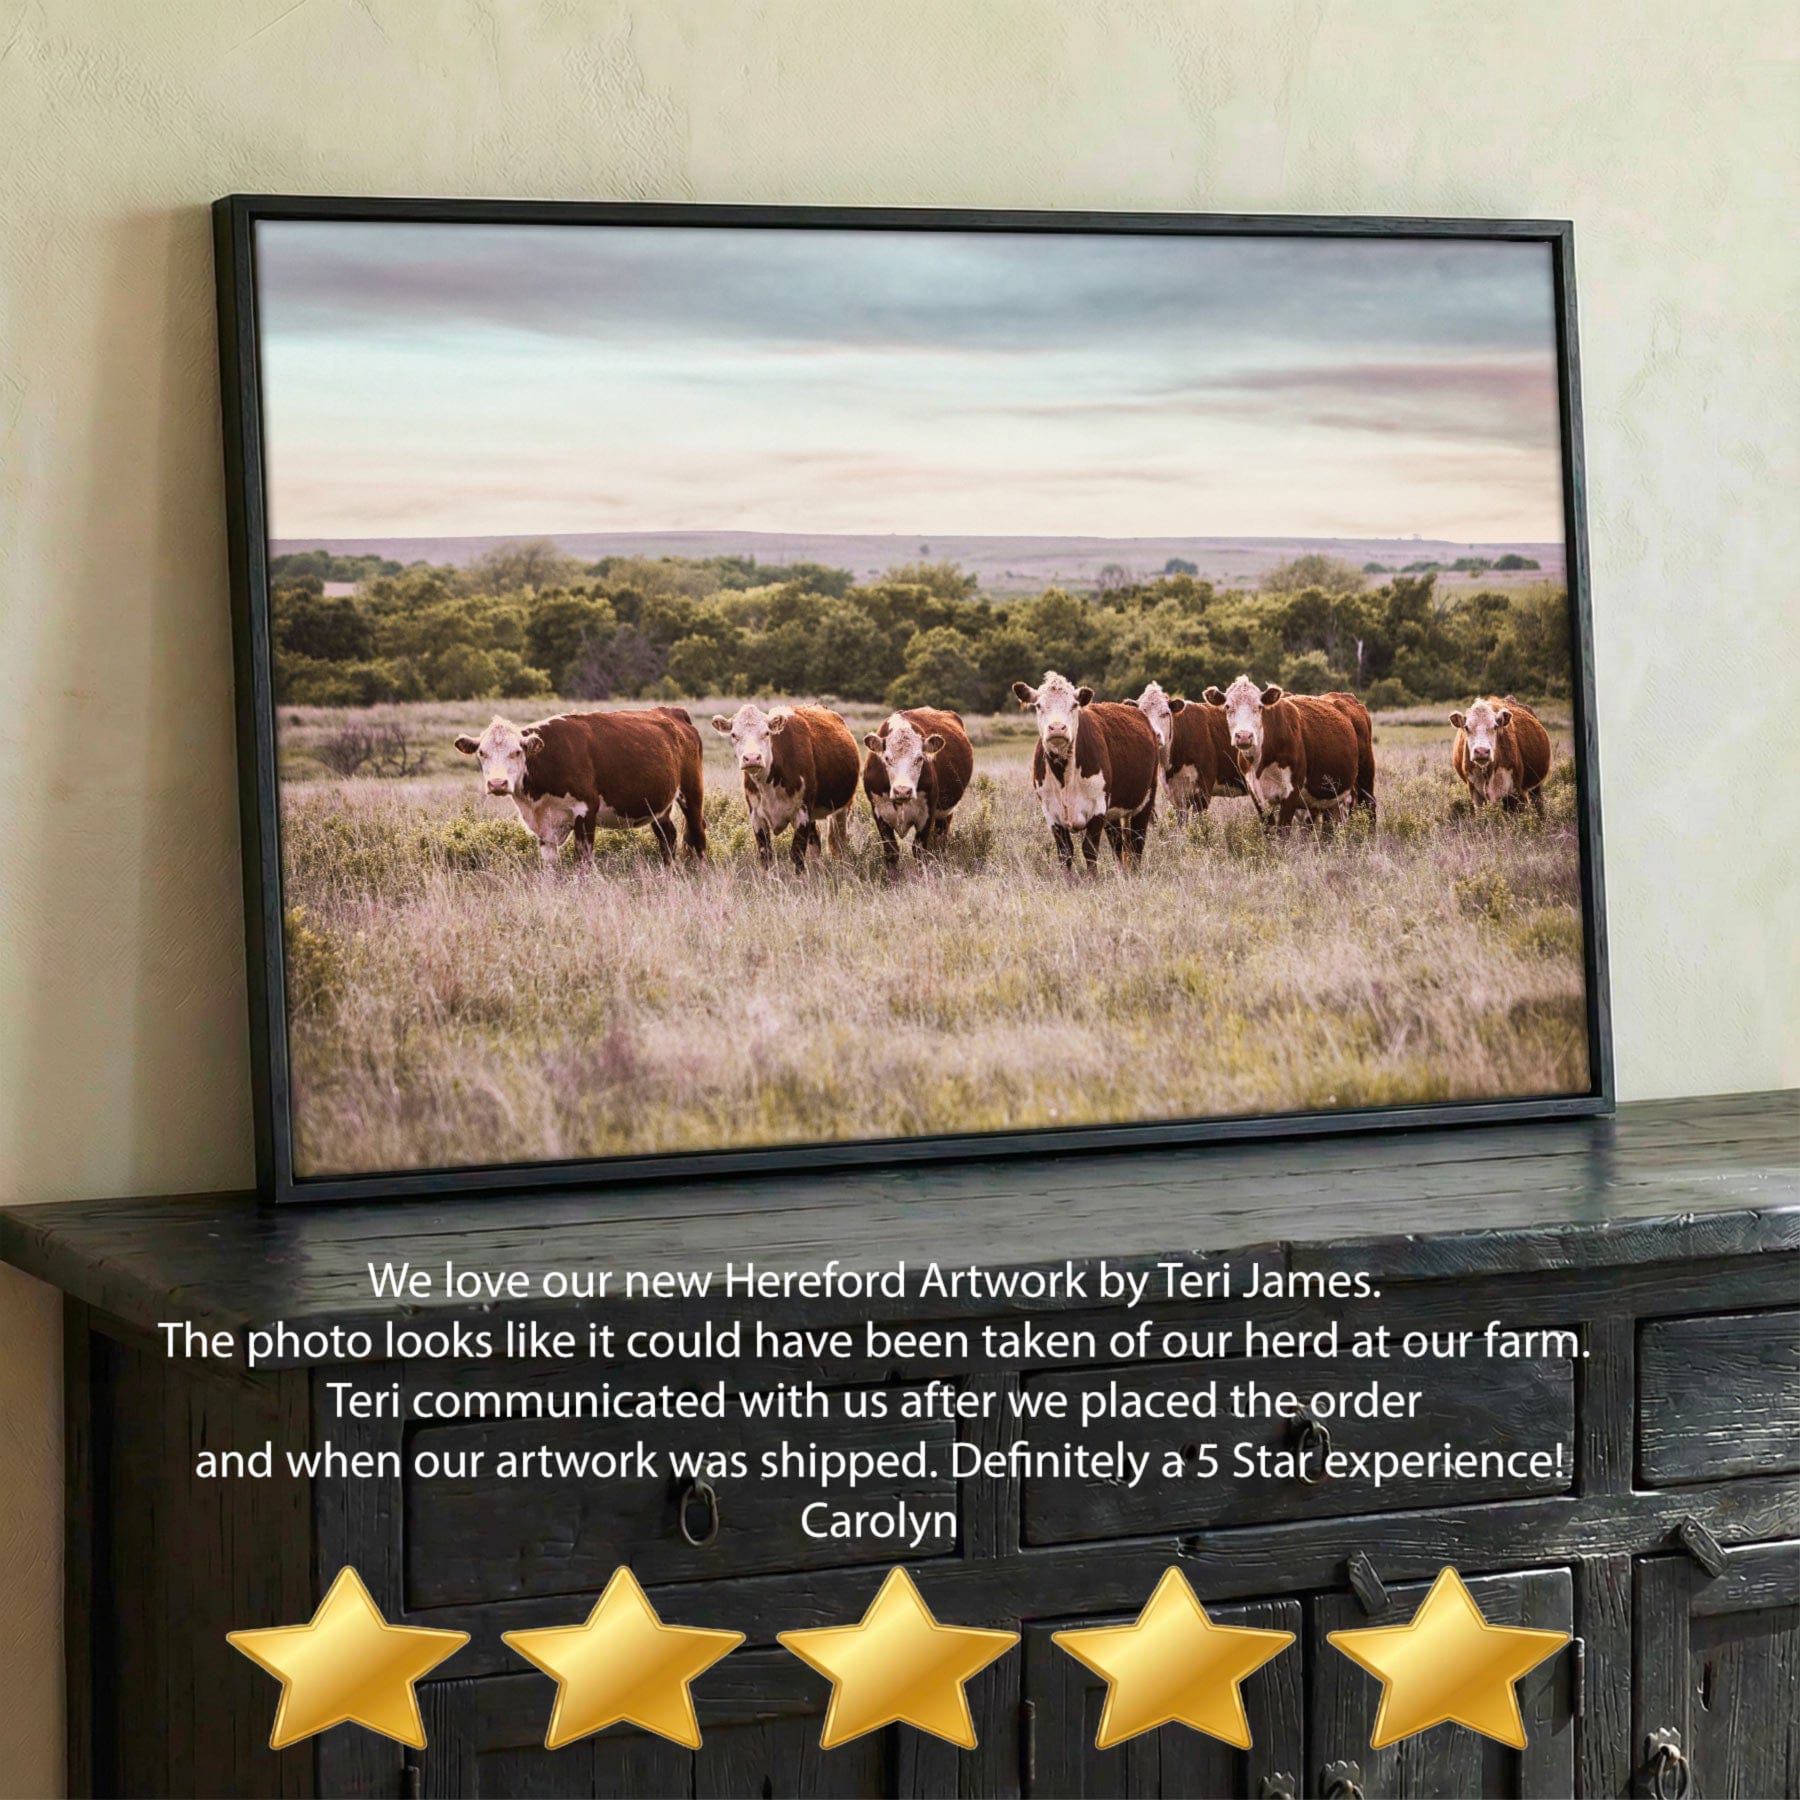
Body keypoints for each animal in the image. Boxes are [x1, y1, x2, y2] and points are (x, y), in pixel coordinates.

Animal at [453, 707, 705, 867]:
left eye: (516, 752)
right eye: (482, 753)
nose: (497, 783)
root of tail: (672, 712)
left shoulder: (585, 810)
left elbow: (583, 861)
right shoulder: (545, 827)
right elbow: (550, 864)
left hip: (692, 793)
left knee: (697, 835)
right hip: (658, 807)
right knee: (668, 837)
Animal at [710, 703, 861, 870]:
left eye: (766, 733)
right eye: (734, 734)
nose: (752, 758)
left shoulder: (802, 813)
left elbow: (797, 854)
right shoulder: (756, 815)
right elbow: (766, 855)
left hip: (843, 806)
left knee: (840, 842)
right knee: (816, 841)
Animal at [861, 707, 975, 869]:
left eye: (919, 758)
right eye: (887, 758)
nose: (902, 791)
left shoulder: (927, 814)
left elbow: (919, 850)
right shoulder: (879, 813)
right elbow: (891, 851)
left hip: (946, 812)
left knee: (940, 838)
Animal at [1012, 671, 1159, 872]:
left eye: (1074, 705)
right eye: (1039, 705)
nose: (1057, 728)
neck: (1064, 775)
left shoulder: (1097, 808)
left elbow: (1089, 850)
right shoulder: (1051, 813)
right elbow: (1065, 852)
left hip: (1145, 800)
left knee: (1137, 842)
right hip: (1113, 811)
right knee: (1118, 843)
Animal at [1201, 677, 1377, 831]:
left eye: (1259, 706)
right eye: (1227, 706)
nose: (1244, 736)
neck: (1262, 762)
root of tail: (1345, 696)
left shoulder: (1291, 791)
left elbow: (1282, 832)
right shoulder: (1256, 793)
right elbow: (1269, 831)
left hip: (1365, 775)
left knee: (1370, 806)